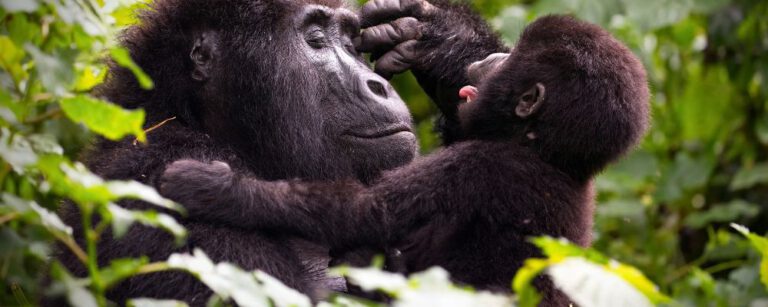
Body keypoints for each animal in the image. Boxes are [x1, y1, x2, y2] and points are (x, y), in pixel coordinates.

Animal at [160, 15, 648, 306]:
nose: (488, 59)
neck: (542, 149)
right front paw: (441, 35)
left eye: (507, 61)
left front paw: (212, 188)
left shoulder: (476, 166)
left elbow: (359, 212)